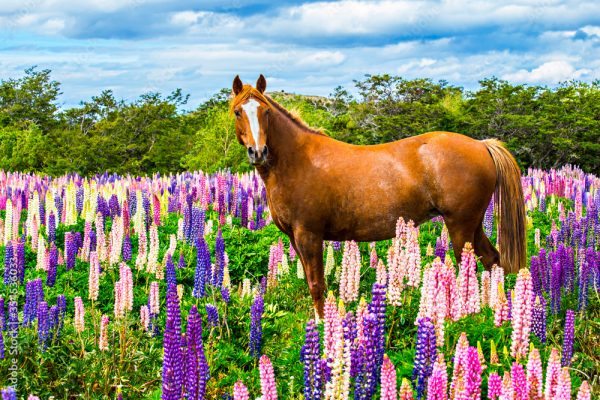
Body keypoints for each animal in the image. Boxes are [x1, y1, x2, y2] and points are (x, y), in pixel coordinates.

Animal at [230, 75, 524, 318]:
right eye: (237, 112)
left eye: (266, 111)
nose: (258, 152)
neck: (298, 161)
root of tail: (482, 145)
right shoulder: (295, 237)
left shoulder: (309, 235)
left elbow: (317, 284)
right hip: (472, 225)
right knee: (491, 260)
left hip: (460, 225)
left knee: (469, 268)